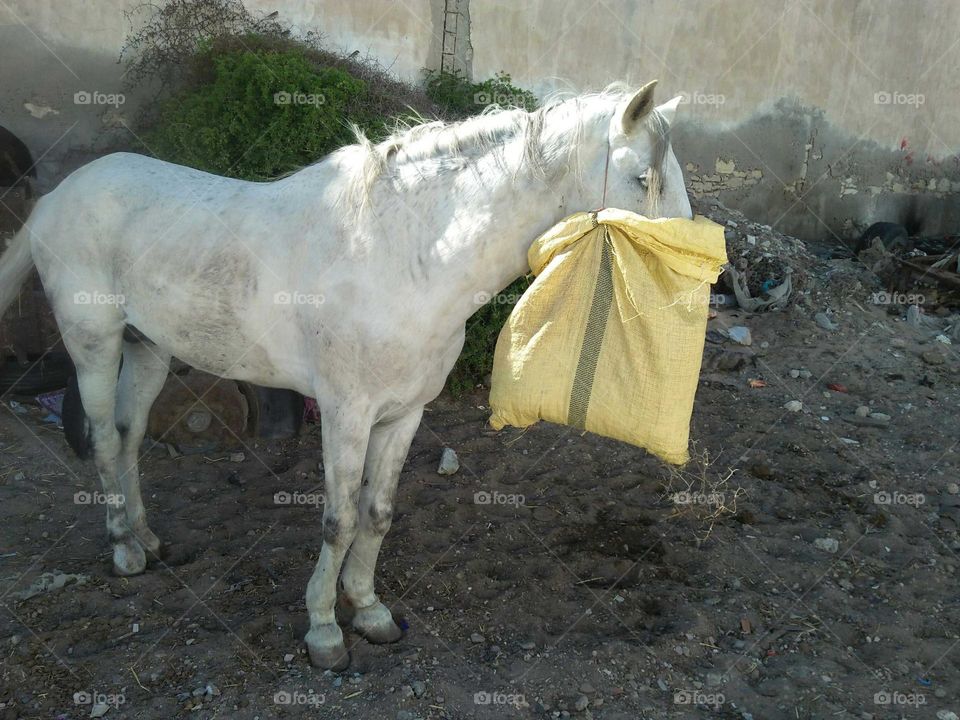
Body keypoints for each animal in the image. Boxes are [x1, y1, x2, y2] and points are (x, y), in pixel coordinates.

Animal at [0, 79, 691, 670]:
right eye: (642, 177)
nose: (695, 275)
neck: (406, 256)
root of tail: (57, 198)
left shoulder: (404, 414)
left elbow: (377, 512)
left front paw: (370, 611)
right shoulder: (345, 414)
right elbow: (339, 520)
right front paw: (325, 631)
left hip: (146, 350)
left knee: (130, 437)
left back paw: (149, 540)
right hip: (94, 346)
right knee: (103, 440)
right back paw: (123, 549)